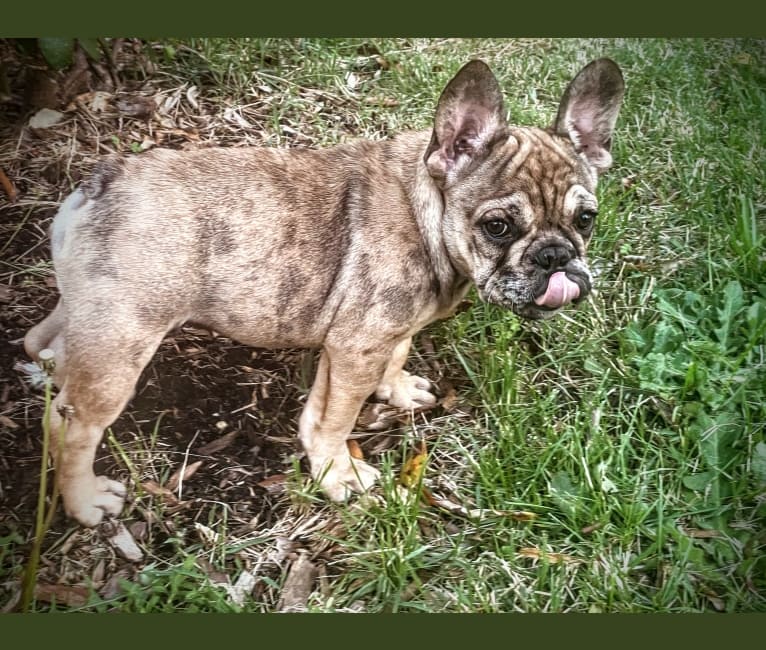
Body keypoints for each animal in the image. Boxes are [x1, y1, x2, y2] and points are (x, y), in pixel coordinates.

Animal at [24, 57, 624, 528]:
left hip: (88, 317)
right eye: (498, 227)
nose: (556, 257)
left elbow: (390, 360)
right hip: (122, 343)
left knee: (42, 348)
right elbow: (335, 416)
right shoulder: (355, 348)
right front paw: (338, 472)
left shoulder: (380, 337)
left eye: (586, 219)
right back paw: (84, 500)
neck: (425, 214)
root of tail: (102, 180)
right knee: (73, 425)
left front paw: (396, 390)